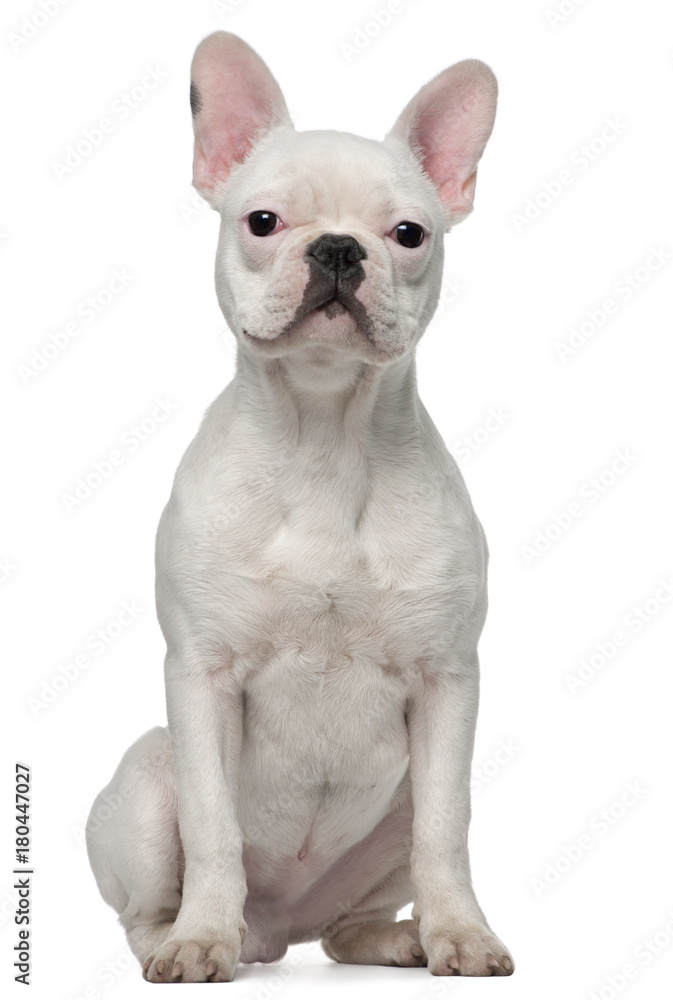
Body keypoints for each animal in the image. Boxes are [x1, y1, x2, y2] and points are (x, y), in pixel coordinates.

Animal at [85, 31, 516, 984]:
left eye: (407, 235)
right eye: (263, 223)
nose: (339, 249)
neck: (323, 432)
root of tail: (282, 929)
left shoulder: (446, 684)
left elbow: (448, 830)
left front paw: (461, 934)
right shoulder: (202, 678)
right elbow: (213, 828)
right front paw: (199, 940)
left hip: (383, 824)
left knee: (354, 916)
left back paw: (400, 937)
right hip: (146, 783)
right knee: (144, 904)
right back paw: (192, 936)